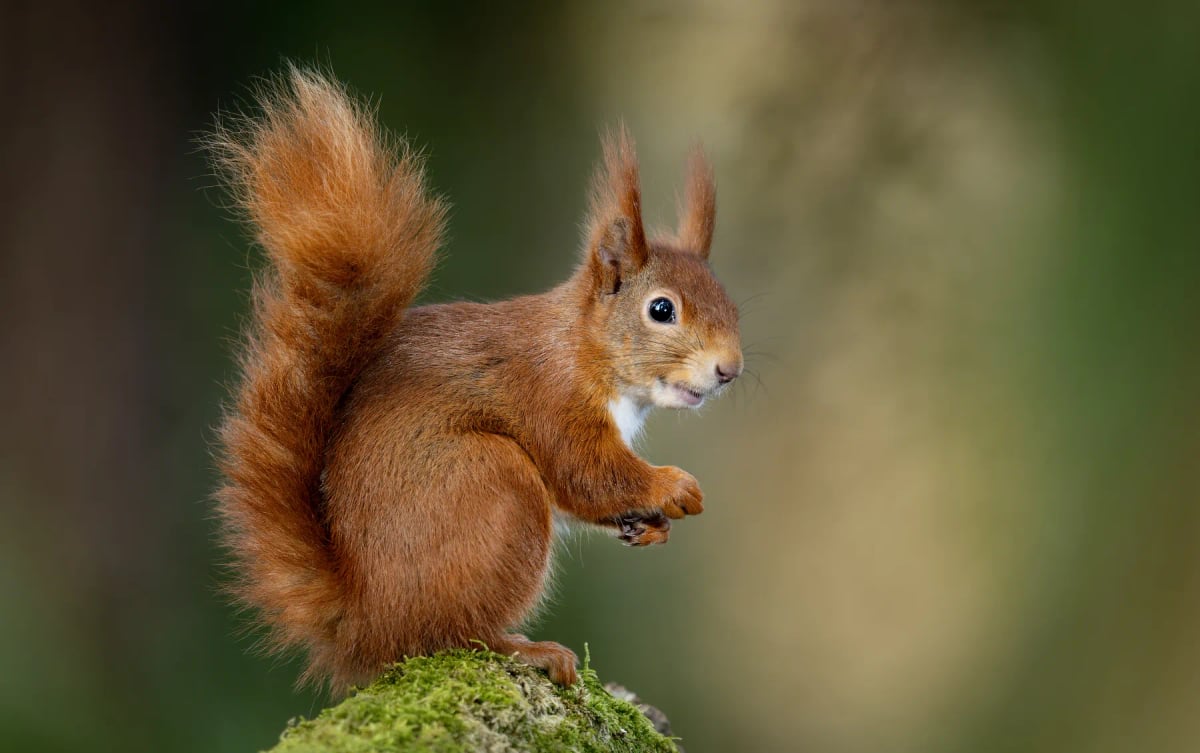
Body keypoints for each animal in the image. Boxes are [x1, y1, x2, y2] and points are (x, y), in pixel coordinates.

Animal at [210, 68, 742, 694]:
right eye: (662, 310)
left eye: (731, 304)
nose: (729, 369)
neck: (584, 349)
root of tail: (364, 624)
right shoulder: (550, 397)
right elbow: (588, 472)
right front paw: (675, 487)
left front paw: (652, 526)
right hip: (492, 487)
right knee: (451, 635)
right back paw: (527, 648)